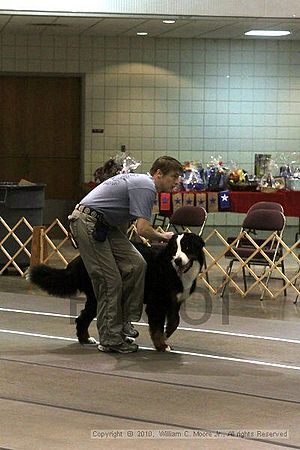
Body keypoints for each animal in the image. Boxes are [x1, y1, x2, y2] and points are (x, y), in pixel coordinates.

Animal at [28, 234, 204, 354]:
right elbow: (157, 328)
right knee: (85, 317)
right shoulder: (156, 303)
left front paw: (167, 334)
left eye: (187, 248)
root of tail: (78, 260)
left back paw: (88, 339)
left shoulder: (175, 301)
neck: (172, 269)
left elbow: (175, 321)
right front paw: (162, 345)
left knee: (82, 318)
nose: (178, 260)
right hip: (100, 293)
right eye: (174, 250)